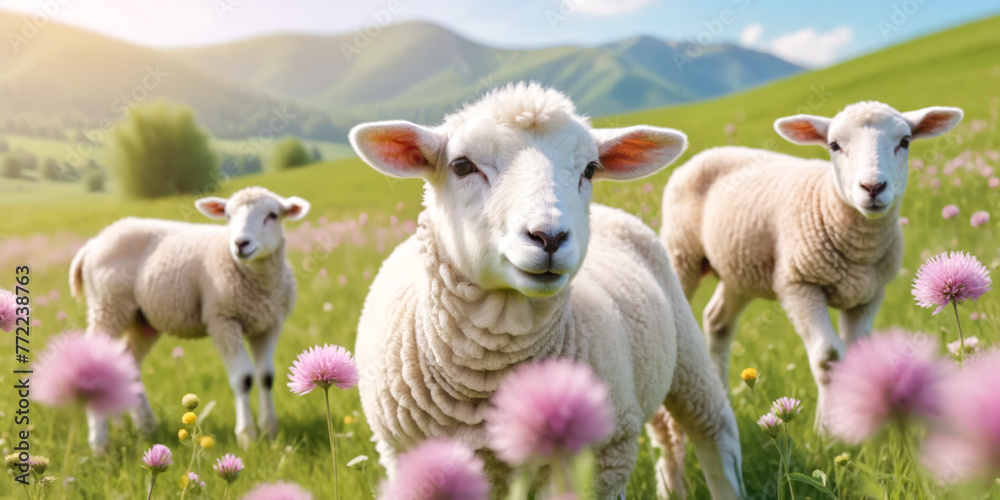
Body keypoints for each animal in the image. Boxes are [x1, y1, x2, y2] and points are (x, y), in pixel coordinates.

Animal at [69, 186, 310, 452]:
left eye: (273, 215)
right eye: (228, 216)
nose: (240, 244)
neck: (258, 280)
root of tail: (92, 244)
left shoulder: (269, 324)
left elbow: (266, 376)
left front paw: (270, 432)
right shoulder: (222, 320)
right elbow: (243, 379)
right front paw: (247, 437)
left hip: (141, 320)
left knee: (128, 359)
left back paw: (146, 426)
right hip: (107, 306)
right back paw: (100, 443)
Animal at [349, 82, 744, 499]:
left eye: (590, 169)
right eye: (462, 166)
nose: (550, 237)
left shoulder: (600, 459)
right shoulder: (407, 457)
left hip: (687, 353)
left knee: (716, 435)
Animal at [659, 101, 963, 425]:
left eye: (904, 142)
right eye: (834, 145)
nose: (872, 187)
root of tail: (709, 152)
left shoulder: (868, 294)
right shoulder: (799, 285)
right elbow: (828, 358)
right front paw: (827, 429)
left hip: (738, 269)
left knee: (717, 322)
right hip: (682, 254)